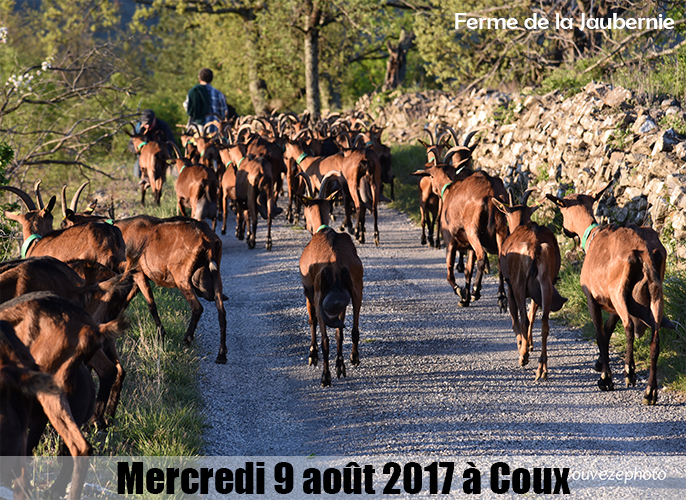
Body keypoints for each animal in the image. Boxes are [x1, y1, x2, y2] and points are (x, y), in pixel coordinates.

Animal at [114, 215, 230, 364]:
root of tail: (207, 237)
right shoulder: (138, 278)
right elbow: (126, 301)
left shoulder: (138, 273)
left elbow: (151, 304)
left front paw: (161, 334)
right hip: (216, 275)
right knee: (222, 312)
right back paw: (221, 355)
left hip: (181, 277)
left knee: (197, 307)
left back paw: (186, 340)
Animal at [300, 172, 366, 386]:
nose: (305, 223)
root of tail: (336, 264)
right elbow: (339, 332)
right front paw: (340, 364)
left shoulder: (308, 290)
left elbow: (312, 320)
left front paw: (312, 356)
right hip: (357, 288)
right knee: (350, 330)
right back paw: (350, 360)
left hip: (320, 295)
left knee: (325, 339)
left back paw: (325, 376)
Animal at [494, 191, 568, 378]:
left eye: (506, 215)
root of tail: (534, 247)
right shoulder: (537, 292)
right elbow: (533, 314)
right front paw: (530, 344)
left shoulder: (510, 287)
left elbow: (516, 319)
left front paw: (523, 346)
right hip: (546, 284)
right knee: (544, 322)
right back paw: (542, 369)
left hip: (518, 284)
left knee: (523, 319)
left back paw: (524, 357)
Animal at [548, 186, 676, 404]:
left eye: (562, 210)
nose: (565, 230)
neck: (592, 236)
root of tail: (645, 253)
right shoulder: (612, 305)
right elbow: (607, 331)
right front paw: (600, 363)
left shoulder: (592, 299)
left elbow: (600, 334)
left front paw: (605, 378)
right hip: (655, 292)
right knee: (655, 338)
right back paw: (650, 391)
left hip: (619, 291)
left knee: (629, 326)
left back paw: (629, 372)